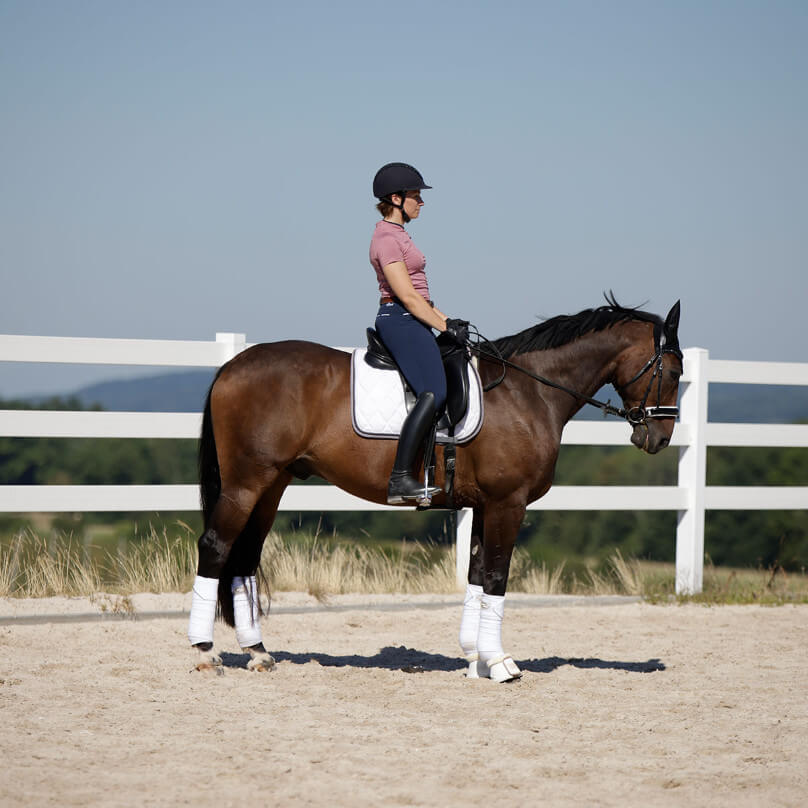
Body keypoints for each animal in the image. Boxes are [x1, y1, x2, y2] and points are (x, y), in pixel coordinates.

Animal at [188, 296, 680, 680]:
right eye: (674, 371)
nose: (658, 438)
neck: (528, 391)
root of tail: (232, 365)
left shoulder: (485, 506)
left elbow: (477, 576)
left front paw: (476, 660)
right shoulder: (508, 504)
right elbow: (497, 577)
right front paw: (500, 664)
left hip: (273, 484)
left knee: (245, 557)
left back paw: (257, 652)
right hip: (247, 483)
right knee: (215, 546)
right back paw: (205, 653)